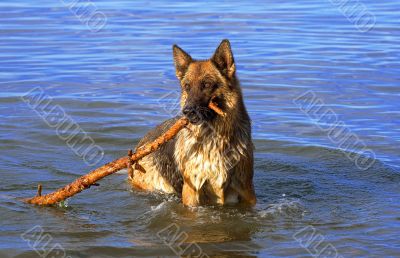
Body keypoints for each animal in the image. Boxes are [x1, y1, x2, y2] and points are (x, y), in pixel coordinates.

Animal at [129, 39, 256, 206]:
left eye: (207, 84)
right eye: (187, 86)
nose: (187, 111)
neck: (215, 138)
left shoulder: (247, 191)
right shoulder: (192, 193)